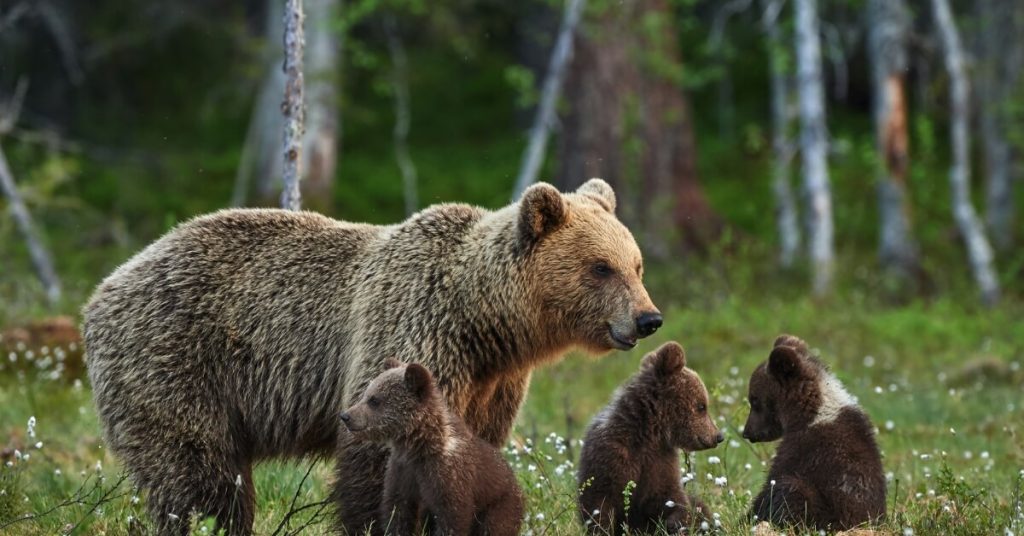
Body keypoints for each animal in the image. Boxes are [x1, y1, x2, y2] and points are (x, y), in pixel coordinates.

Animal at [341, 358, 523, 536]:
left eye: (374, 400)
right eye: (366, 394)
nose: (346, 416)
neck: (419, 445)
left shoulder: (449, 476)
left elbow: (452, 518)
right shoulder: (402, 470)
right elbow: (397, 510)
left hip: (499, 505)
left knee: (494, 527)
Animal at [577, 341, 723, 535]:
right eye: (702, 406)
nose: (718, 436)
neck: (648, 433)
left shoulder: (660, 462)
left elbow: (671, 498)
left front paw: (676, 524)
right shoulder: (610, 456)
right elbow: (599, 504)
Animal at [742, 334, 886, 531]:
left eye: (754, 400)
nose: (747, 432)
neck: (810, 413)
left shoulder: (806, 449)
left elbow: (773, 481)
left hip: (826, 513)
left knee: (791, 489)